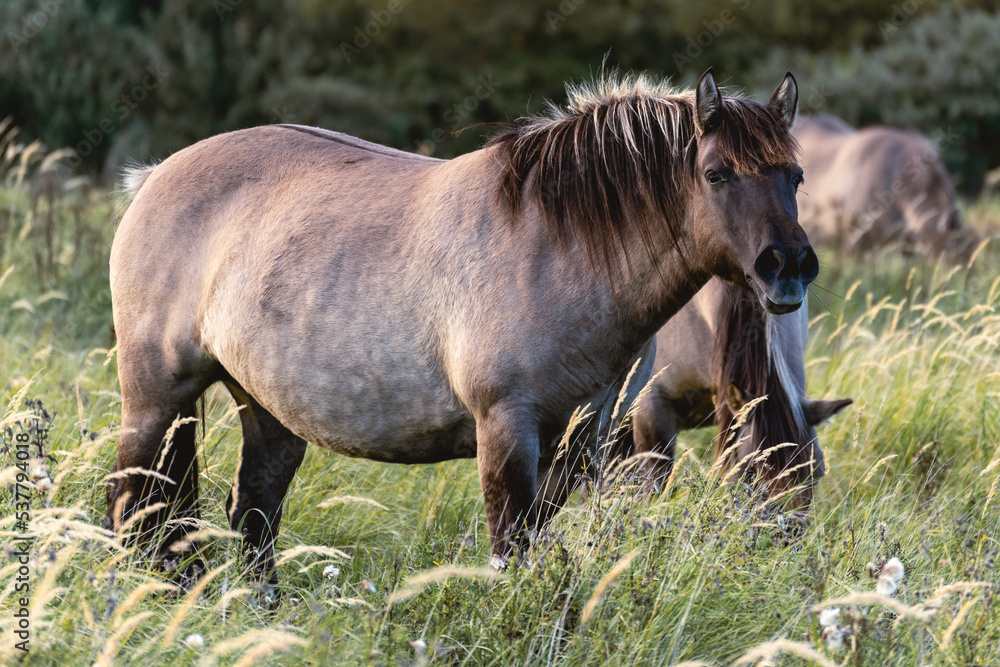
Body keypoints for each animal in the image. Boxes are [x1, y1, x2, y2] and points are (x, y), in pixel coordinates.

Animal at [106, 68, 816, 582]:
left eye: (796, 176)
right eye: (716, 174)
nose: (787, 267)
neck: (558, 247)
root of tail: (153, 177)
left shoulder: (581, 437)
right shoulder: (505, 429)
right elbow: (510, 552)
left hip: (267, 408)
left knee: (252, 515)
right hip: (156, 401)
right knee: (131, 506)